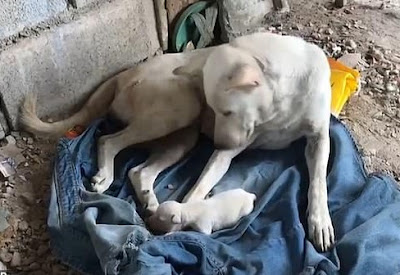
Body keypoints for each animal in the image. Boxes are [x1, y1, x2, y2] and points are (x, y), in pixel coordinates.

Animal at [21, 32, 334, 252]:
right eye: (216, 109)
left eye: (227, 111)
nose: (218, 144)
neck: (280, 101)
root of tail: (123, 74)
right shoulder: (230, 146)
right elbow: (197, 191)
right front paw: (183, 219)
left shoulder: (319, 138)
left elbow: (319, 181)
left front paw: (320, 222)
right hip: (182, 107)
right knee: (108, 141)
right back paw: (106, 176)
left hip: (182, 138)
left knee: (138, 171)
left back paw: (149, 200)